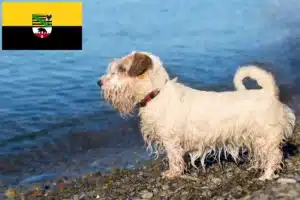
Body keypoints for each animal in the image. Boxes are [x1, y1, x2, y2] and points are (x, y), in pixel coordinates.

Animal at [98, 50, 296, 180]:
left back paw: (267, 175)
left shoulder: (171, 141)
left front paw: (173, 173)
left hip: (266, 137)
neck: (157, 93)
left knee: (274, 156)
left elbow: (174, 158)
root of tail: (269, 92)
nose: (99, 82)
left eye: (121, 69)